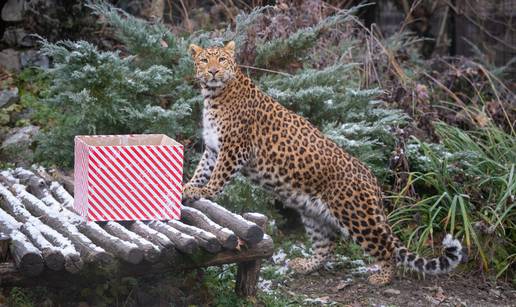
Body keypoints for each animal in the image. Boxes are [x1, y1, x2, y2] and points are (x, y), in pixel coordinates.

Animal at [183, 41, 466, 286]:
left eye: (222, 59)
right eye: (204, 60)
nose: (213, 71)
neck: (213, 95)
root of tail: (372, 180)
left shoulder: (234, 148)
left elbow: (218, 175)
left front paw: (205, 191)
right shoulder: (213, 149)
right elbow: (202, 170)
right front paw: (189, 187)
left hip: (356, 215)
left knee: (385, 247)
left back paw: (383, 277)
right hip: (314, 214)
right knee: (326, 246)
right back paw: (306, 265)